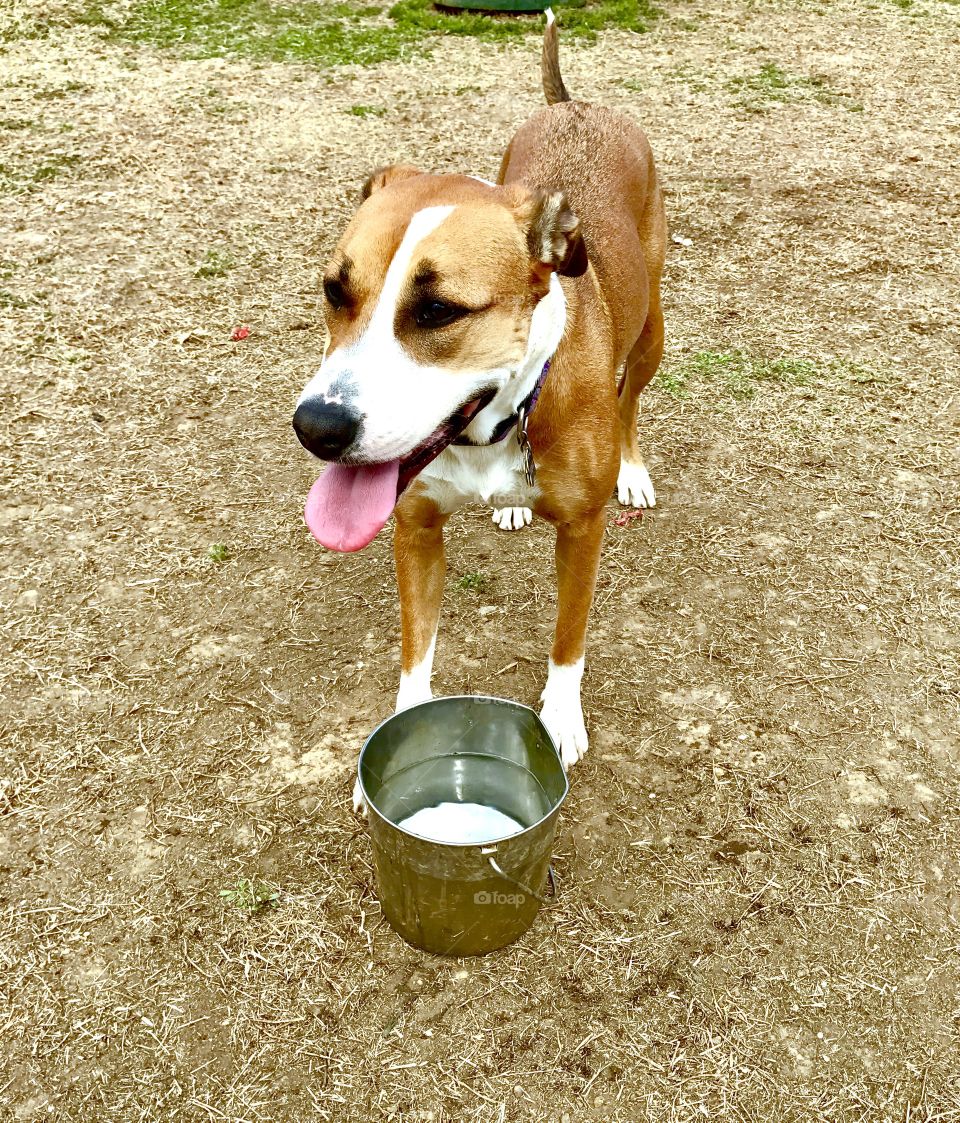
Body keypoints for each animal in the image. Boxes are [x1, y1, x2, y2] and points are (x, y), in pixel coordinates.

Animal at [291, 15, 664, 808]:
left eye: (439, 311)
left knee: (633, 396)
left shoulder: (583, 532)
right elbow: (416, 650)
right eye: (335, 290)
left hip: (654, 331)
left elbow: (568, 638)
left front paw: (560, 719)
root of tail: (578, 105)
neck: (494, 425)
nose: (317, 428)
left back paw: (633, 468)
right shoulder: (414, 528)